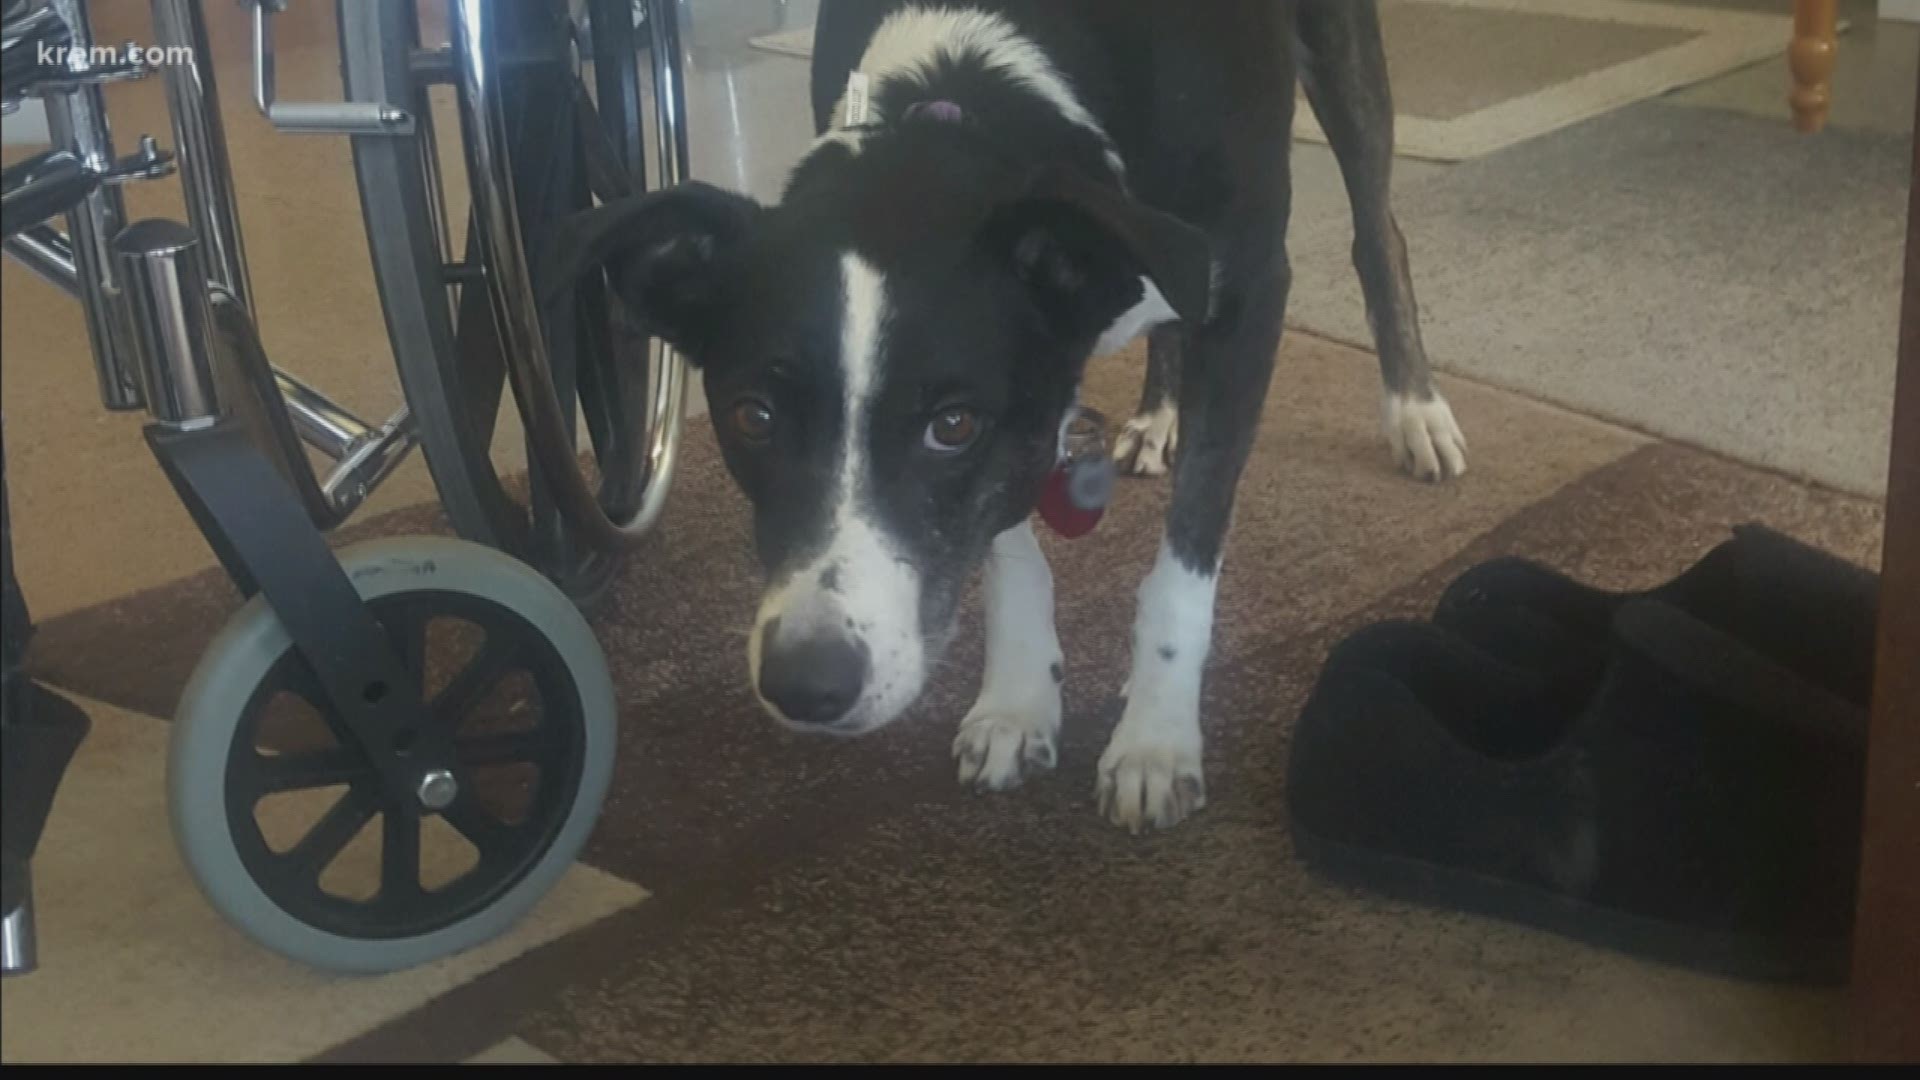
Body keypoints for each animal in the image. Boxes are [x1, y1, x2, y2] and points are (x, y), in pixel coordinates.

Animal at [549, 0, 1459, 826]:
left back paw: (1416, 408)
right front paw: (1018, 702)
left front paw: (1155, 737)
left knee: (1378, 231)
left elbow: (1185, 558)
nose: (807, 683)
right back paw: (1160, 413)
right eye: (753, 417)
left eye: (950, 426)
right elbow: (1008, 548)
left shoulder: (1250, 296)